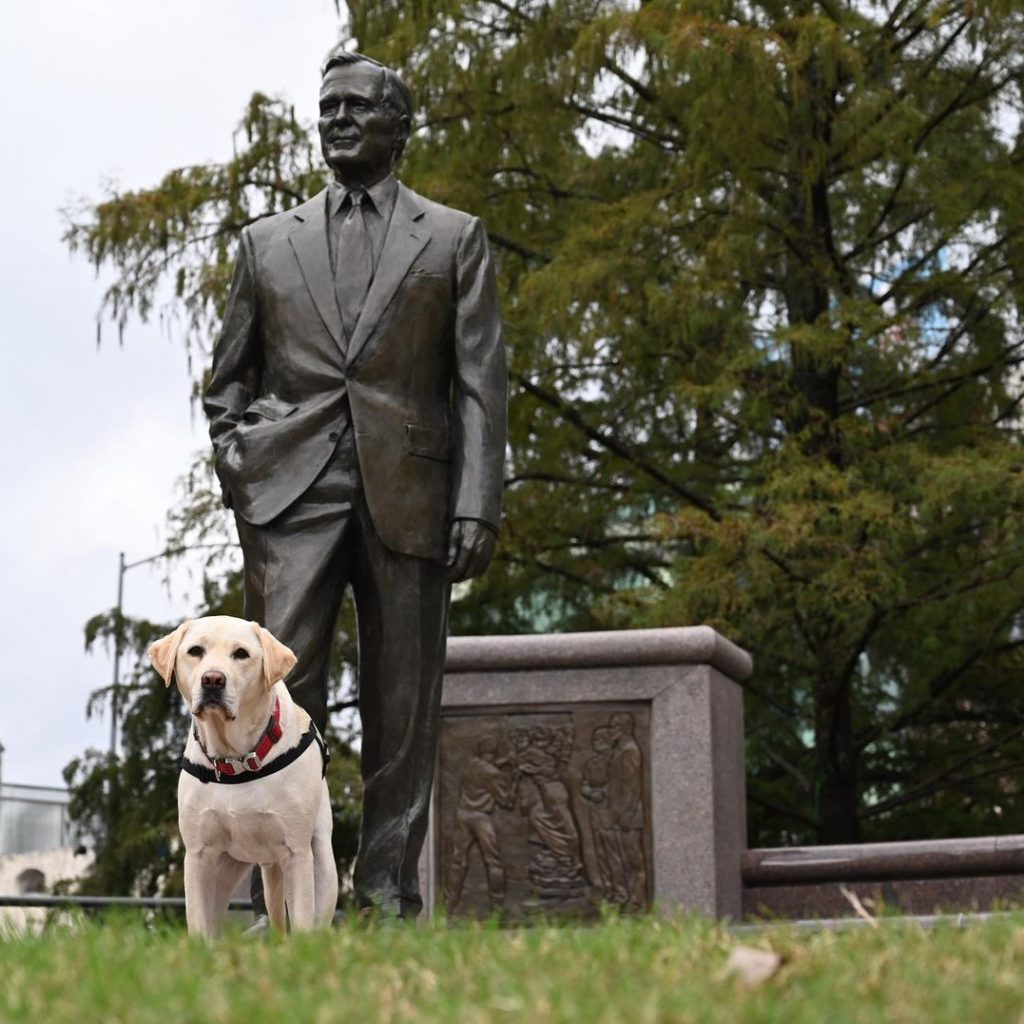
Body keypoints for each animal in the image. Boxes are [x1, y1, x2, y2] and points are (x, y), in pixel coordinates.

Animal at [147, 610, 335, 937]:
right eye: (195, 651)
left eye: (241, 654)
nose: (213, 679)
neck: (236, 759)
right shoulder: (198, 856)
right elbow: (199, 926)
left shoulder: (296, 854)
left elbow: (302, 918)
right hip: (225, 870)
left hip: (321, 855)